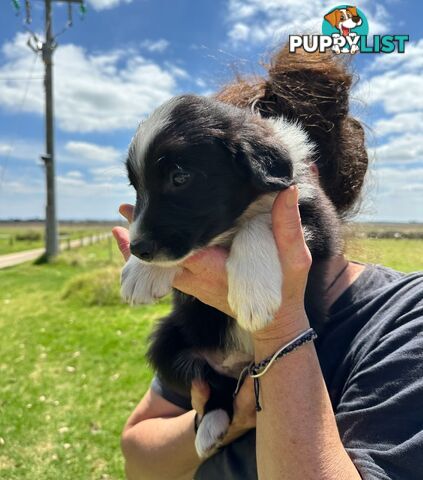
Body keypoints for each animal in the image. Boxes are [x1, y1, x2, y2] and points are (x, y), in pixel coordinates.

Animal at [121, 94, 340, 458]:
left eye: (180, 177)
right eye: (135, 185)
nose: (137, 249)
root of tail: (237, 363)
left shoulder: (317, 221)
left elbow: (257, 224)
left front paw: (254, 295)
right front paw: (140, 272)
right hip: (168, 342)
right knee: (216, 387)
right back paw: (211, 425)